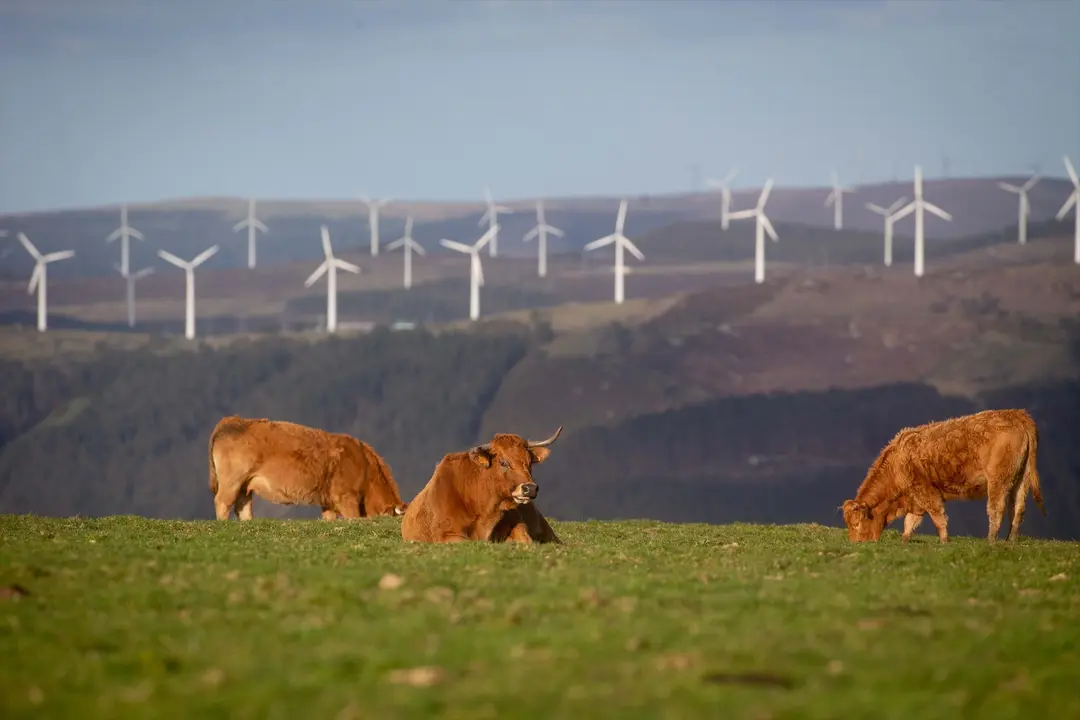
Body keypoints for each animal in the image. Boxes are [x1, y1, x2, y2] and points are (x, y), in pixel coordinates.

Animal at [208, 415, 407, 521]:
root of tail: (232, 420)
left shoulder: (328, 503)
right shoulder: (346, 498)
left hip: (244, 485)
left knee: (243, 507)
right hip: (232, 481)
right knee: (222, 502)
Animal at [841, 409, 1045, 544]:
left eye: (857, 524)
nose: (856, 544)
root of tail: (1017, 414)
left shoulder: (925, 491)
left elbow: (938, 517)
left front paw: (944, 541)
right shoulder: (916, 499)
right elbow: (910, 521)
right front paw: (905, 539)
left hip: (998, 480)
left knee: (997, 508)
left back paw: (991, 540)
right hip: (1021, 479)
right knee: (1018, 508)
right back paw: (1010, 541)